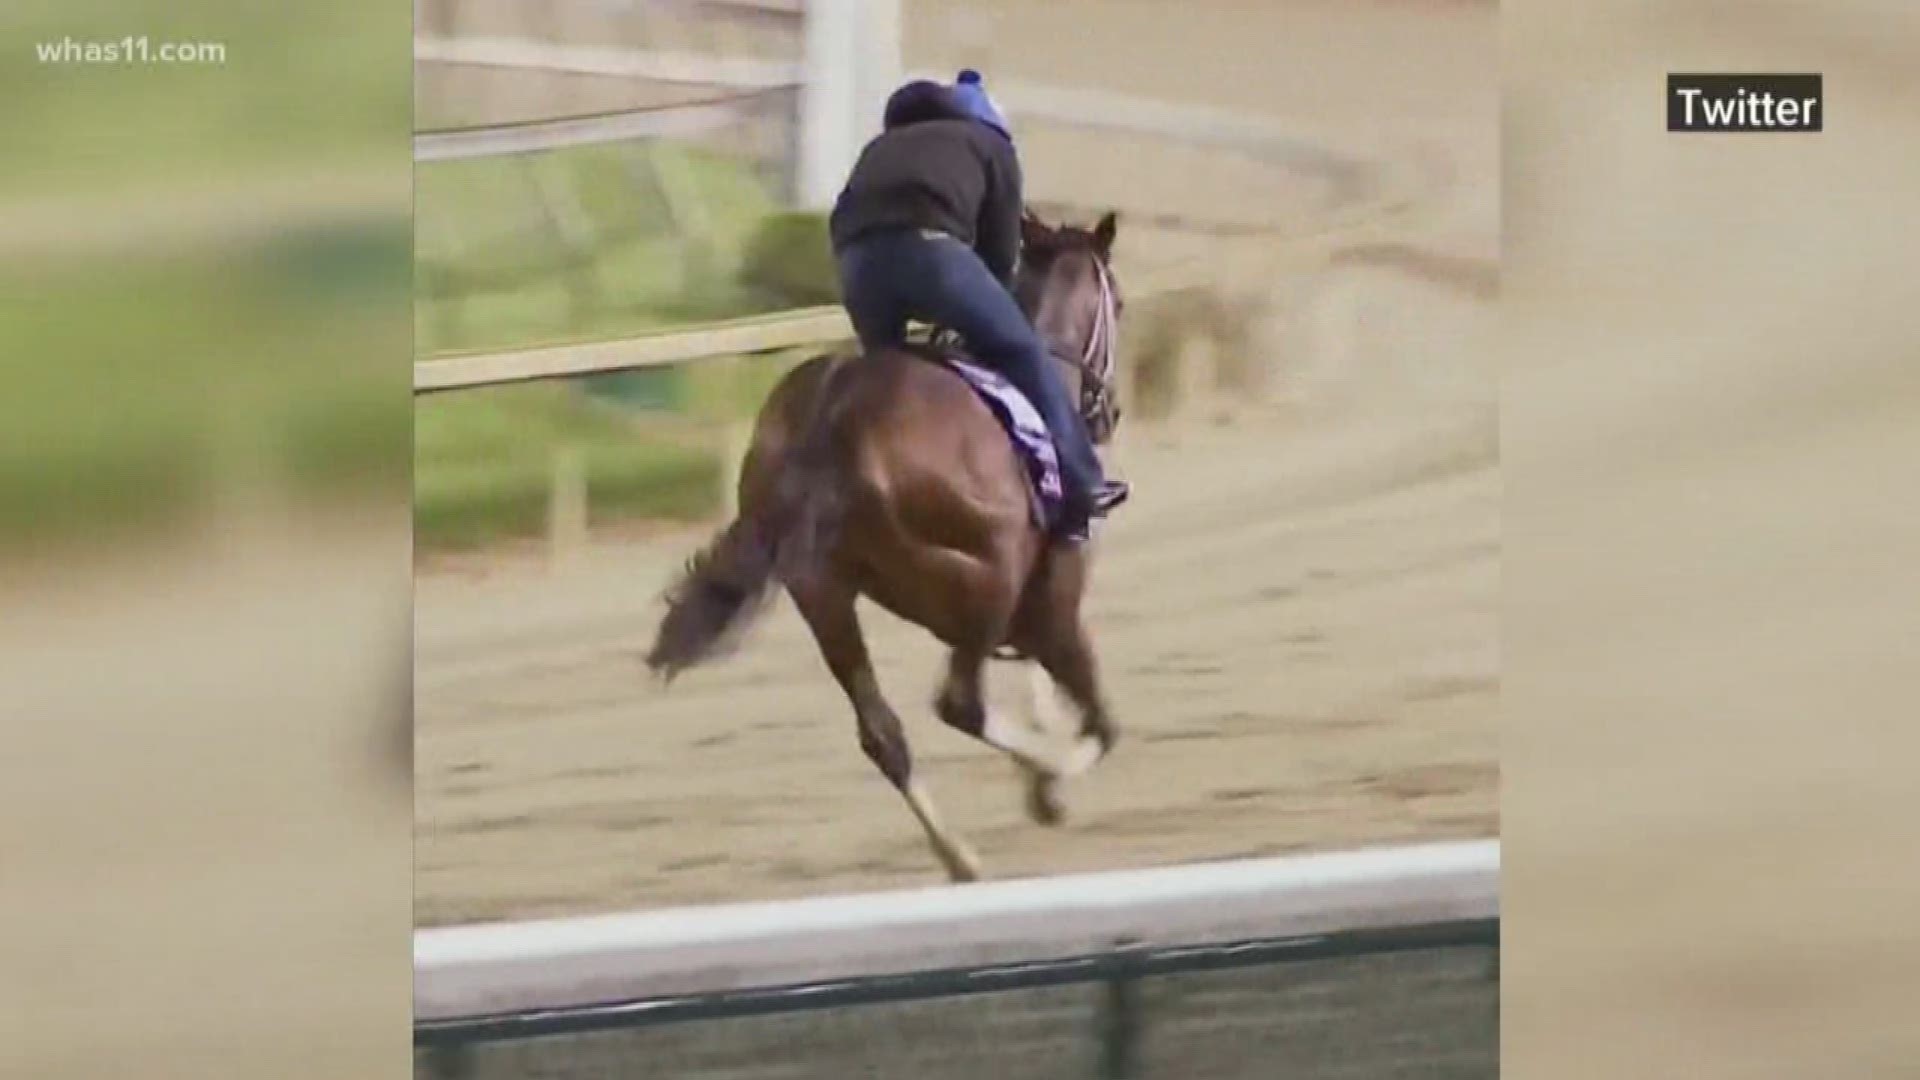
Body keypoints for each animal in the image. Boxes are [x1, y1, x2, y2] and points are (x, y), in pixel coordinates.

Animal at [645, 212, 1121, 883]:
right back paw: (1027, 787)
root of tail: (832, 421)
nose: (1109, 412)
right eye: (1119, 303)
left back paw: (959, 856)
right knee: (959, 704)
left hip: (824, 596)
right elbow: (1100, 721)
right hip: (985, 577)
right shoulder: (1052, 600)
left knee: (883, 734)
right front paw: (1050, 784)